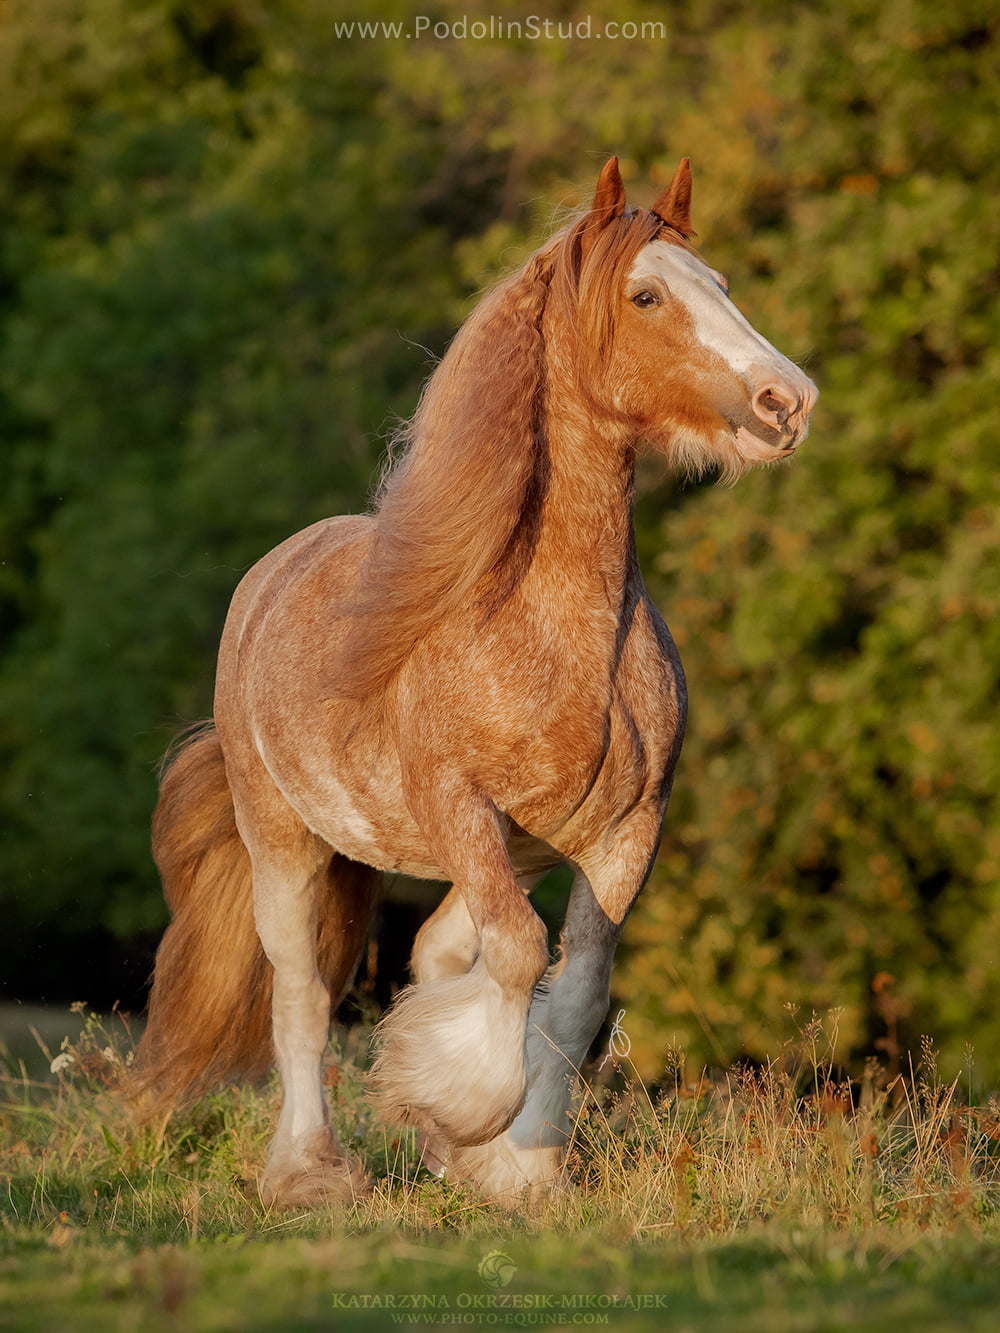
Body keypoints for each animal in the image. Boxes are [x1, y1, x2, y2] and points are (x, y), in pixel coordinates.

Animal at [133, 158, 816, 1210]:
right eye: (646, 295)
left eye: (725, 285)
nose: (789, 402)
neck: (555, 633)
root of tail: (268, 578)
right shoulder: (459, 804)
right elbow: (521, 956)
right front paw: (465, 1111)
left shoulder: (625, 835)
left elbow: (571, 989)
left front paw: (516, 1168)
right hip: (283, 836)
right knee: (300, 990)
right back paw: (310, 1171)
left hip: (512, 854)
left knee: (443, 950)